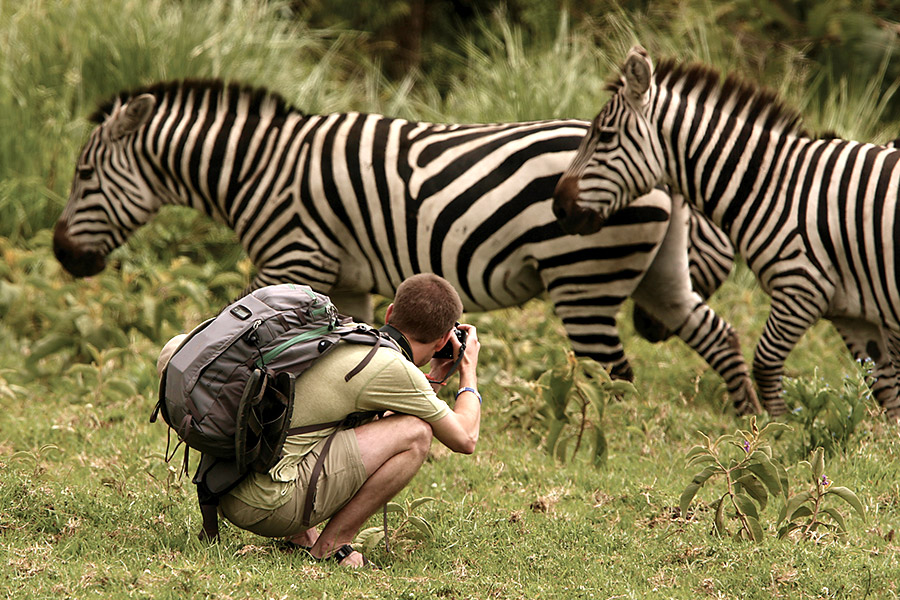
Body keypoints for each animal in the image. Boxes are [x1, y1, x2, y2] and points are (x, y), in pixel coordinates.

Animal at [54, 78, 760, 412]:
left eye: (84, 175)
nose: (63, 256)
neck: (258, 167)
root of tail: (661, 172)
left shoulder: (293, 253)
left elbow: (253, 336)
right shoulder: (347, 277)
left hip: (583, 272)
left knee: (613, 374)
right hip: (656, 271)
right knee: (717, 334)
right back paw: (753, 417)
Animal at [552, 47, 900, 418]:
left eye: (605, 136)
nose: (558, 208)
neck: (773, 185)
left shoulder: (802, 287)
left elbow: (764, 363)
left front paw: (777, 429)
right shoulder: (851, 310)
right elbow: (885, 385)